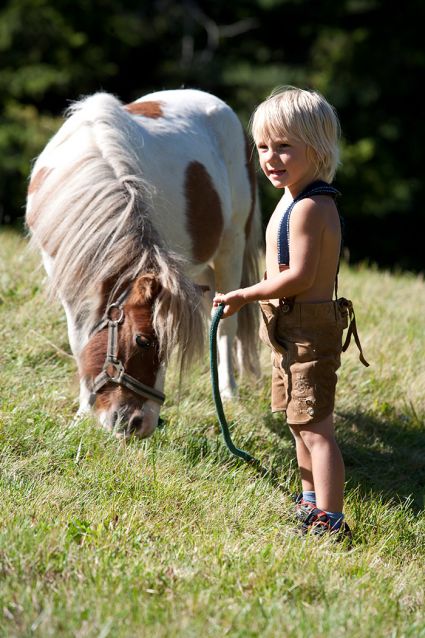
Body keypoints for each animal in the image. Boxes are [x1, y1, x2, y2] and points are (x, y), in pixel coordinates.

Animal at [26, 89, 262, 440]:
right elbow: (80, 340)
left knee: (224, 325)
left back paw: (229, 394)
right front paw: (83, 413)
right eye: (143, 340)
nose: (140, 424)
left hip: (231, 247)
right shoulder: (67, 280)